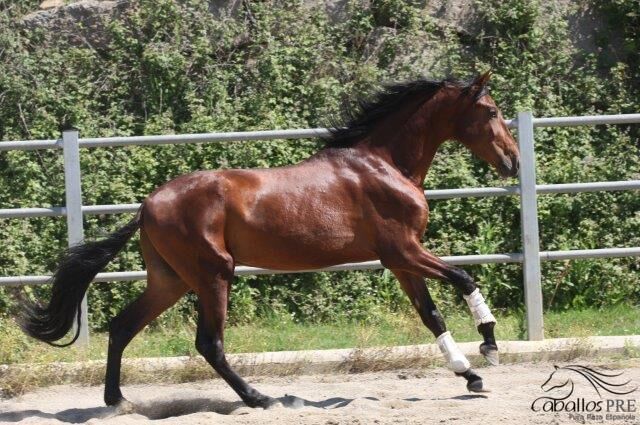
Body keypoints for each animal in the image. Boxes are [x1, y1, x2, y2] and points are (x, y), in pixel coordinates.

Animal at [20, 71, 520, 410]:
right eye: (492, 112)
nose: (513, 162)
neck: (384, 164)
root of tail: (147, 205)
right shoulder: (405, 251)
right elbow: (464, 278)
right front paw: (490, 349)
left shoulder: (399, 261)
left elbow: (431, 316)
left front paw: (469, 375)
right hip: (213, 274)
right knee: (209, 343)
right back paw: (261, 398)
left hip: (170, 280)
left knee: (123, 326)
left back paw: (117, 401)